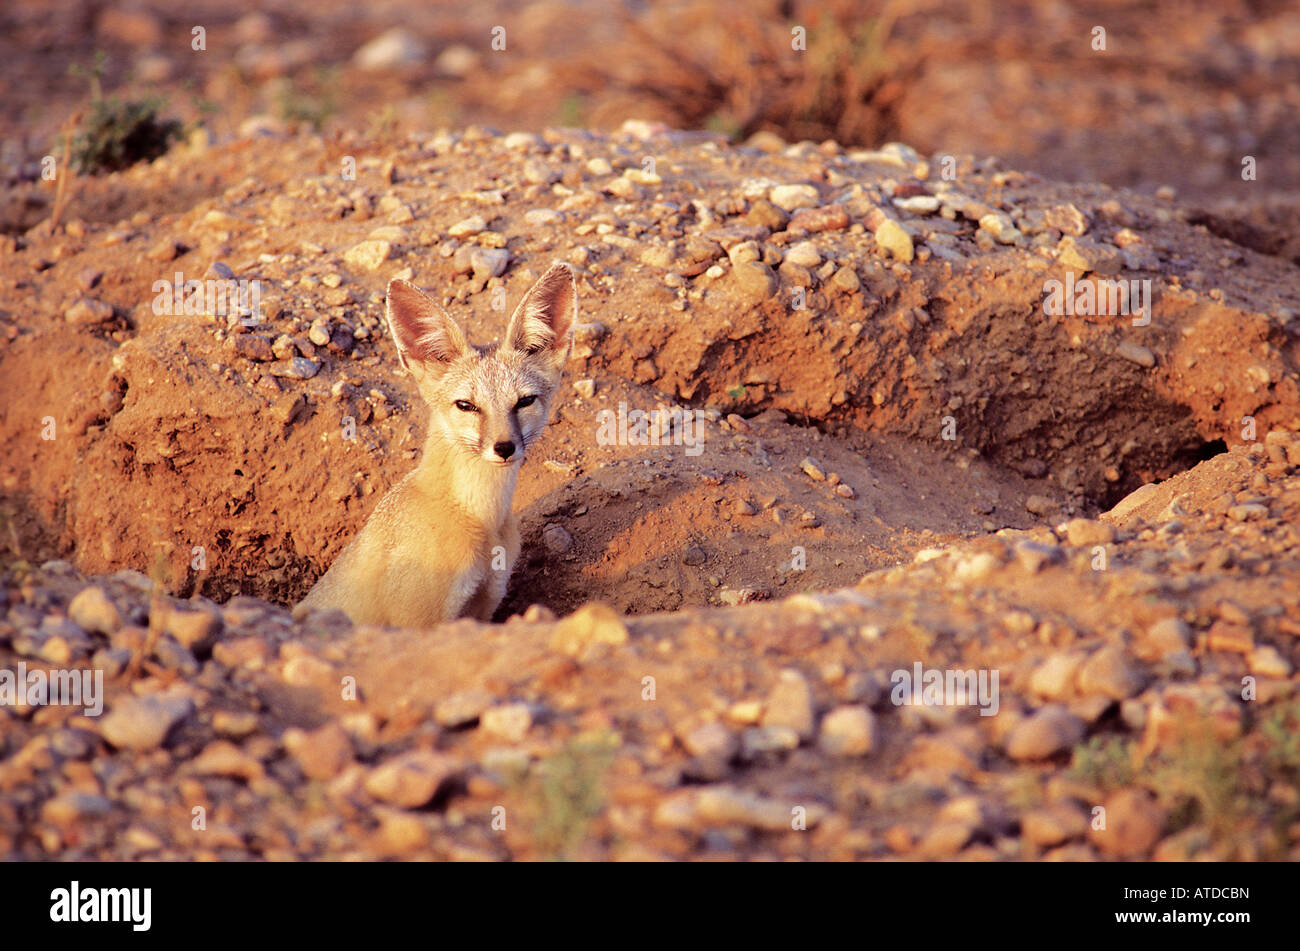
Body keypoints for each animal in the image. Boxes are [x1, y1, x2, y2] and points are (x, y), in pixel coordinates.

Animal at [298, 261, 578, 628]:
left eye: (525, 401)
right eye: (466, 405)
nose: (504, 448)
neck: (480, 519)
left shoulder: (485, 604)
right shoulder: (421, 621)